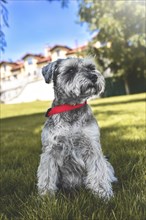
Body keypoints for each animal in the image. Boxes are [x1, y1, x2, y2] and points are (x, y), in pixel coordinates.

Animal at [37, 57, 117, 199]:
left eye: (91, 67)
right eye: (71, 70)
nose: (93, 76)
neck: (71, 108)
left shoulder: (92, 147)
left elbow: (98, 171)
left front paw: (103, 194)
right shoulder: (50, 150)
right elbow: (47, 174)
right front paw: (46, 195)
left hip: (106, 163)